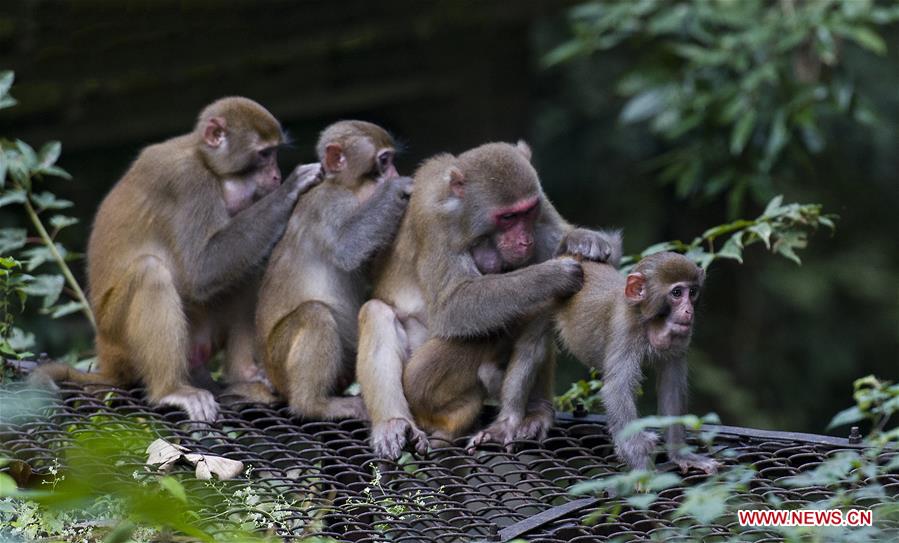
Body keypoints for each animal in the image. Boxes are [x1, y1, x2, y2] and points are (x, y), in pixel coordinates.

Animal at [28, 96, 324, 420]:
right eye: (265, 154)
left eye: (274, 153)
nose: (276, 176)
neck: (205, 161)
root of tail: (105, 353)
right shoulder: (187, 182)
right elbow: (201, 271)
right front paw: (293, 187)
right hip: (120, 339)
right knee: (151, 272)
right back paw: (170, 390)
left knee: (246, 270)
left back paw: (243, 374)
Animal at [255, 122, 414, 420]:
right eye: (385, 161)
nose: (396, 173)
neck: (341, 184)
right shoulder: (331, 204)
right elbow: (347, 248)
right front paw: (398, 189)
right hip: (279, 361)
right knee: (314, 313)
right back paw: (313, 404)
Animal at [356, 140, 624, 460]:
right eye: (508, 217)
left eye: (527, 212)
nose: (525, 241)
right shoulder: (434, 222)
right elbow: (452, 307)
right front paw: (552, 275)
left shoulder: (541, 203)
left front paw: (583, 239)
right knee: (380, 313)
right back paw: (395, 422)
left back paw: (536, 411)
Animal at [560, 253, 720, 474]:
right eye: (677, 293)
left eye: (693, 292)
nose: (689, 311)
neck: (646, 320)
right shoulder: (624, 330)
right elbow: (617, 390)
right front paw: (642, 467)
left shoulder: (679, 340)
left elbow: (671, 389)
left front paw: (681, 455)